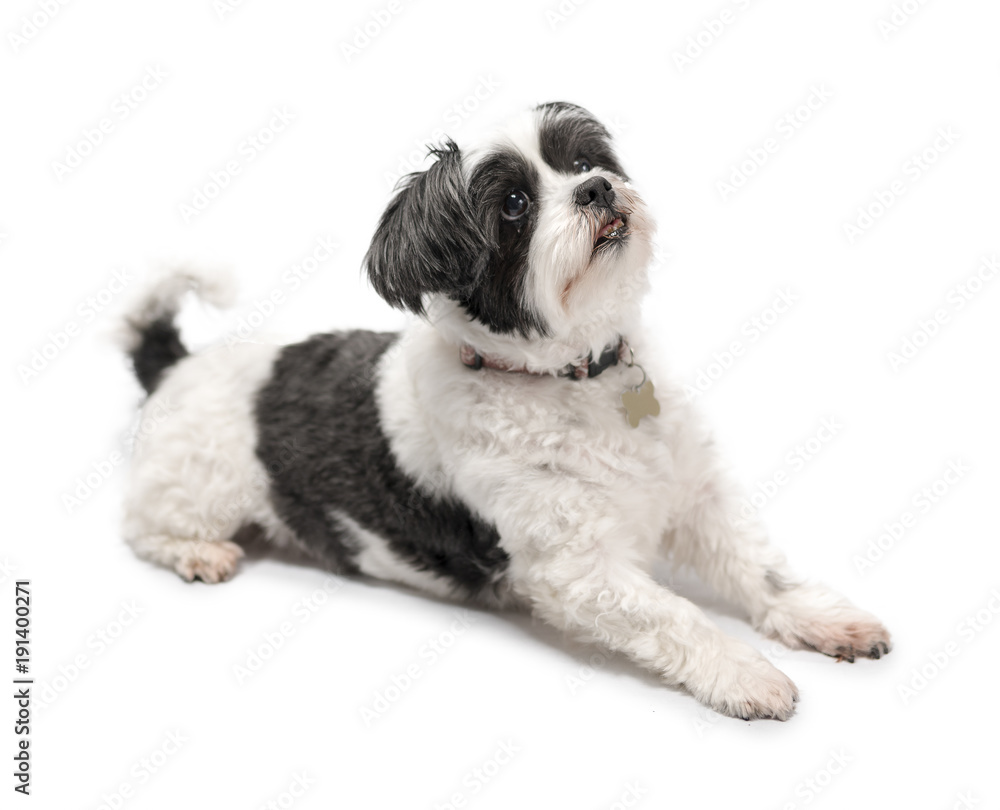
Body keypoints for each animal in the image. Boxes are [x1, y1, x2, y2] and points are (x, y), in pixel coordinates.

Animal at [121, 102, 896, 720]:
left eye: (582, 160)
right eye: (516, 204)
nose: (596, 187)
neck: (570, 376)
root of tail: (177, 362)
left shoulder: (696, 495)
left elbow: (759, 567)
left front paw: (818, 617)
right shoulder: (575, 569)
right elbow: (673, 613)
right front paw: (742, 671)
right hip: (200, 484)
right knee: (142, 529)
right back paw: (194, 552)